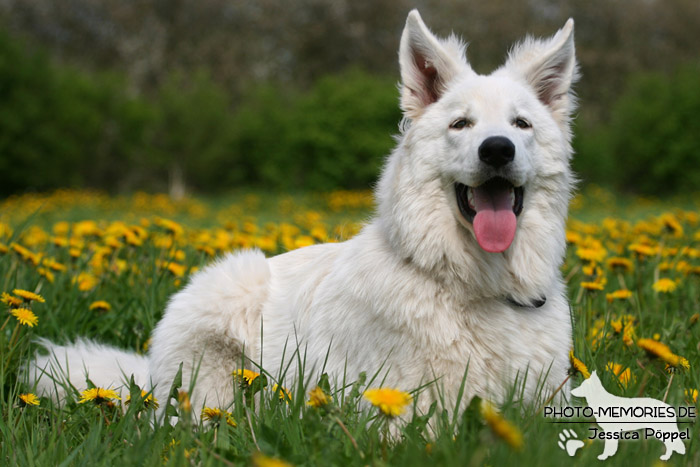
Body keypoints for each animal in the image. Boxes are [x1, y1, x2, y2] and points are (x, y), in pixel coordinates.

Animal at [28, 11, 580, 418]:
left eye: (521, 124)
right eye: (461, 124)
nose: (497, 149)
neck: (475, 285)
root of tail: (147, 370)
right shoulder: (406, 409)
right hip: (234, 290)